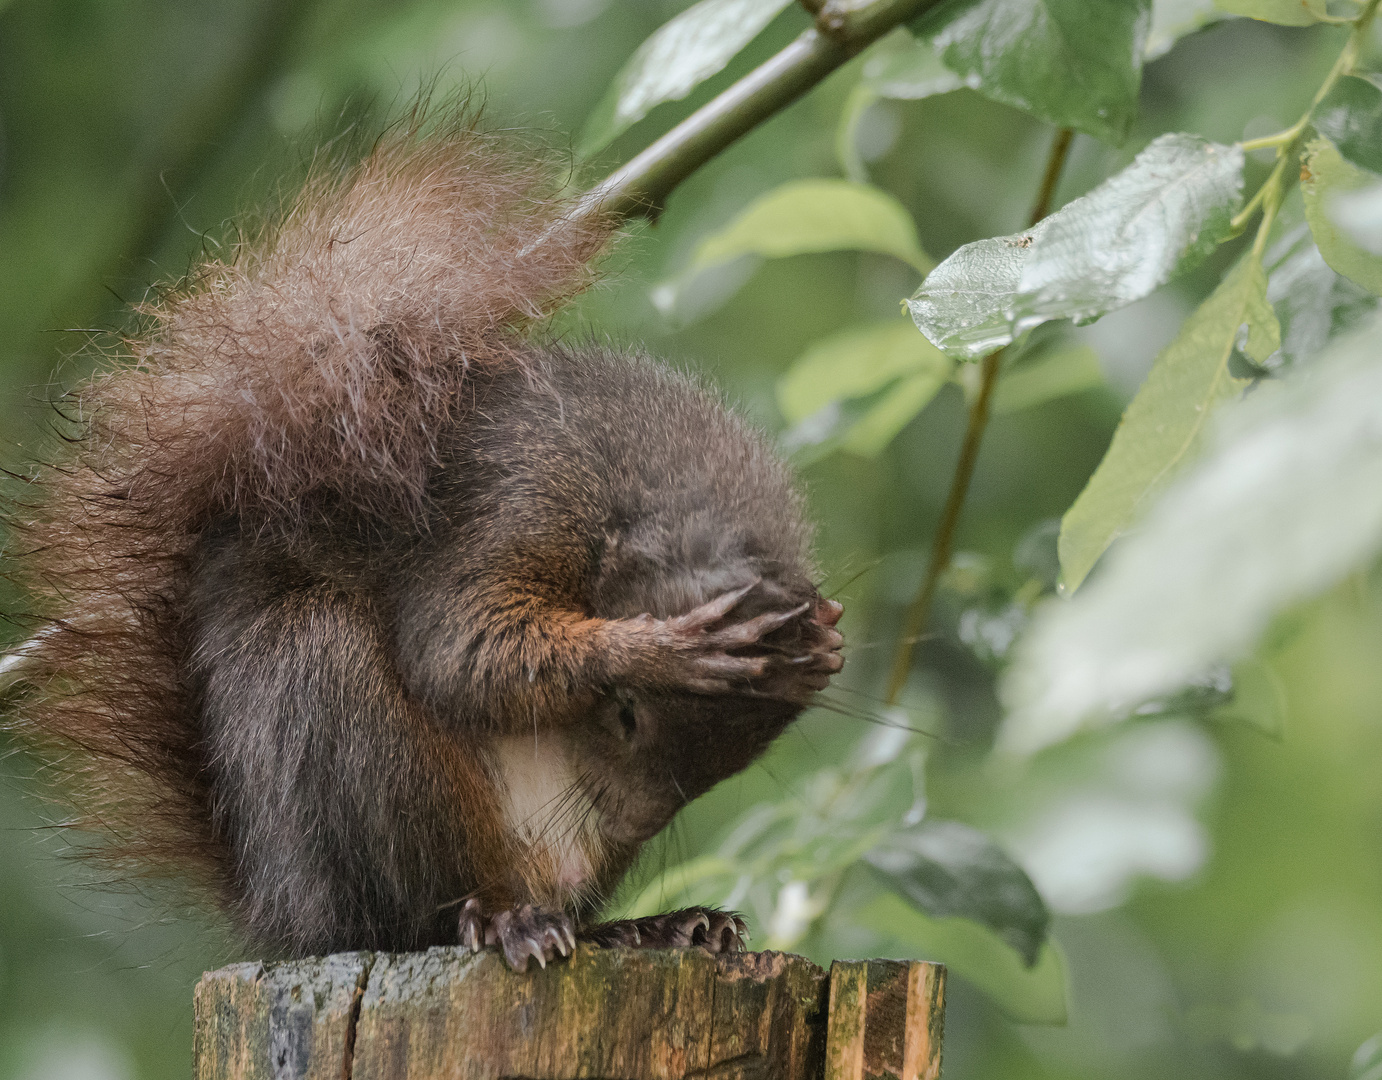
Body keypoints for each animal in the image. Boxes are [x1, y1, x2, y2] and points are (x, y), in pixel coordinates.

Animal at [0, 114, 845, 973]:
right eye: (626, 716)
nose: (634, 826)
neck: (648, 481)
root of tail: (282, 913)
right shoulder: (513, 511)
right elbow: (460, 650)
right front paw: (658, 648)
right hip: (335, 716)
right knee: (407, 915)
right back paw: (505, 920)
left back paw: (647, 927)